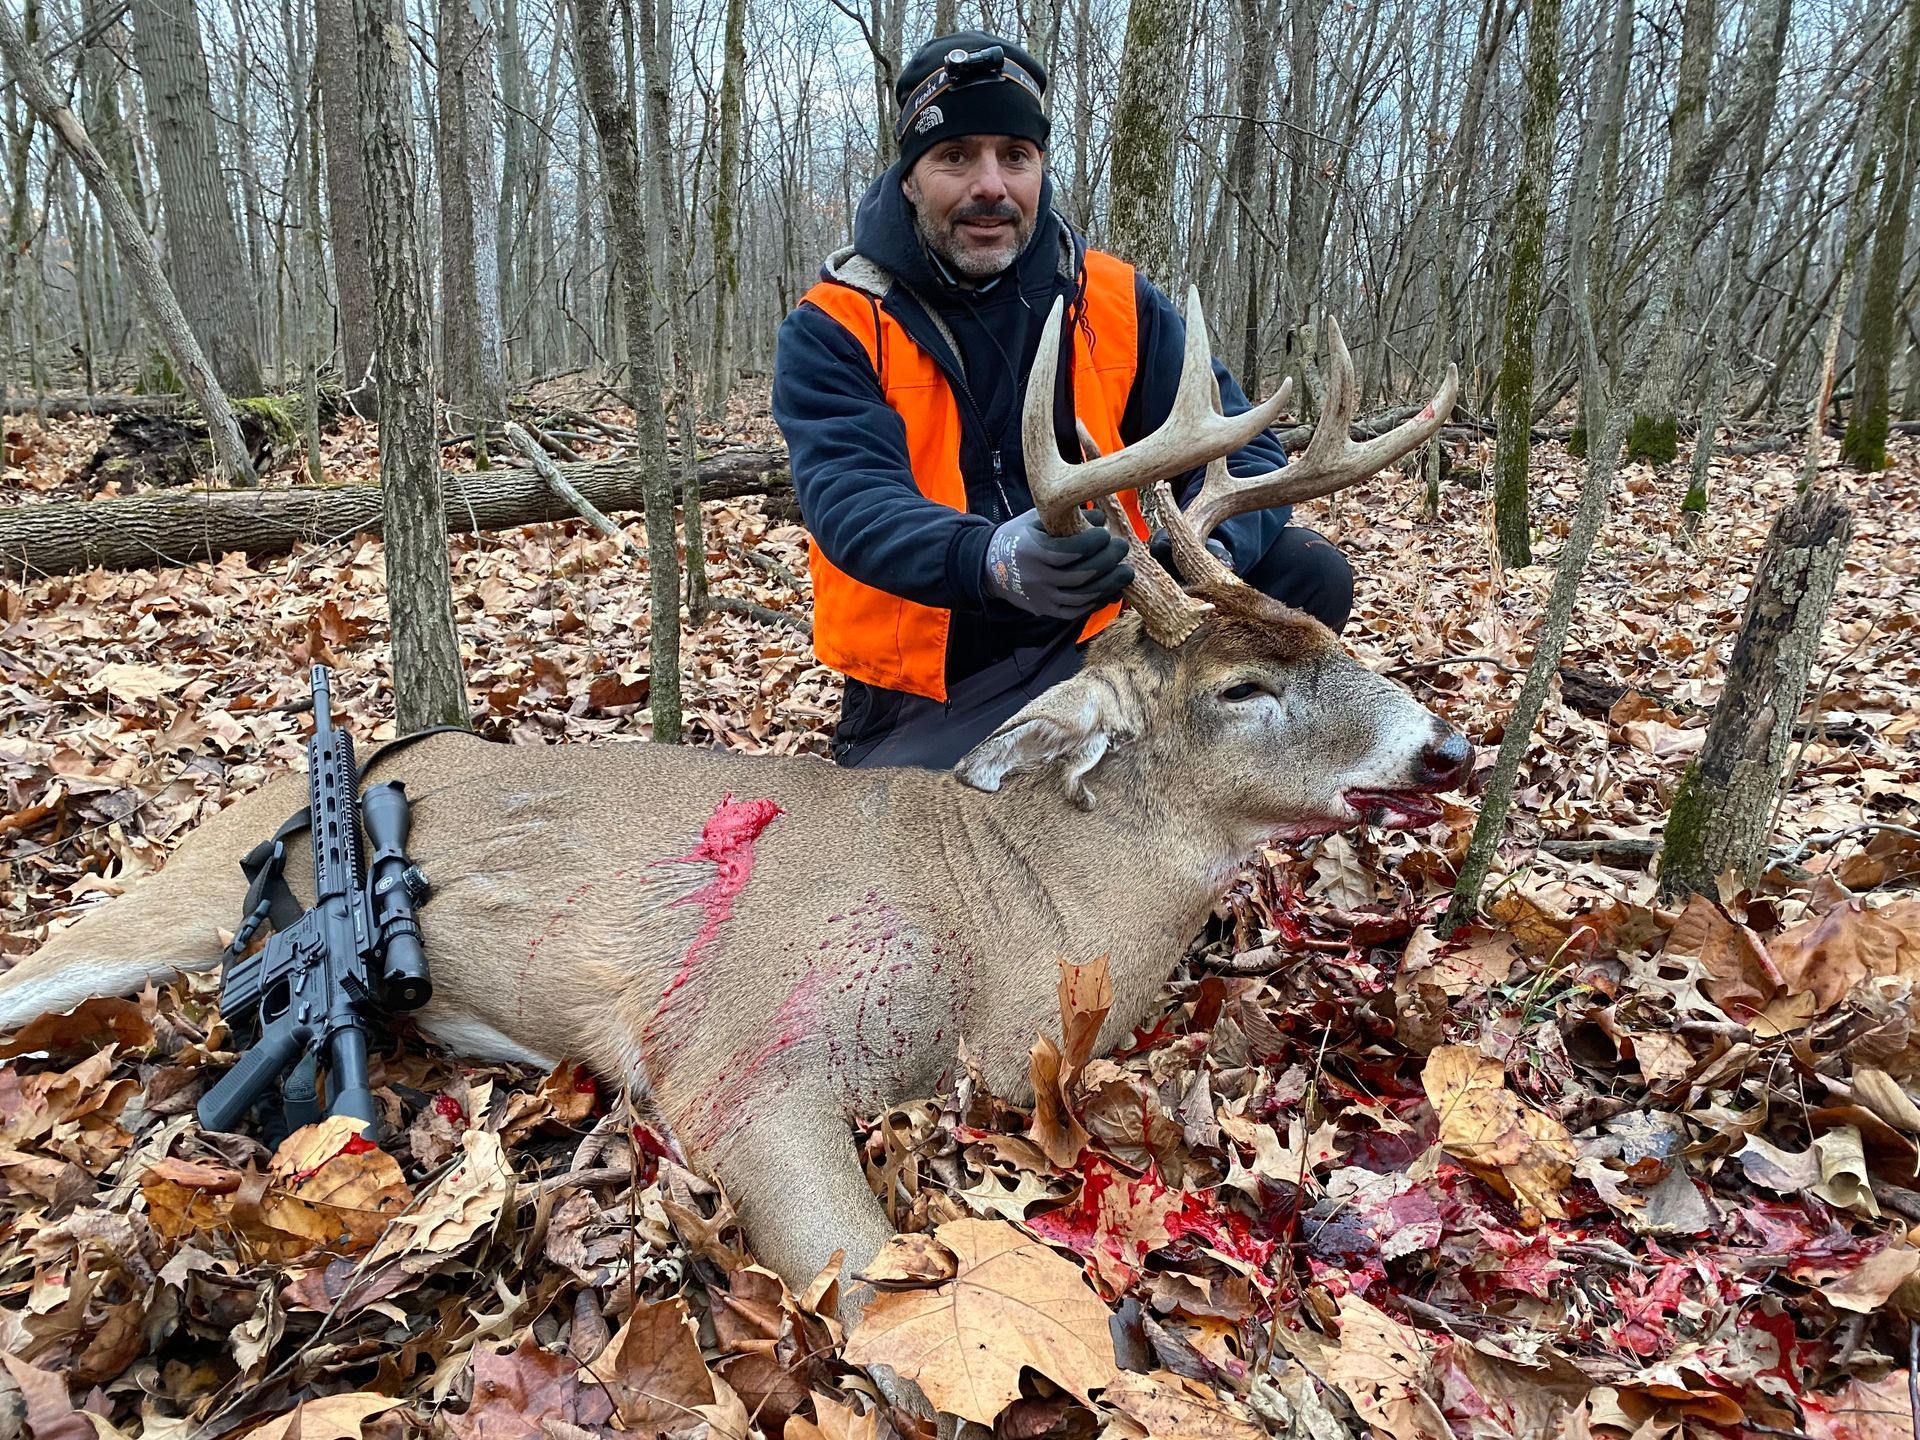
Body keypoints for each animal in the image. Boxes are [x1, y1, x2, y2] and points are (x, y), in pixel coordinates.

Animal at [0, 292, 1463, 1345]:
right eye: (1240, 687)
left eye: (1331, 635)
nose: (1444, 745)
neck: (1008, 928)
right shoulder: (735, 1054)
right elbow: (878, 1289)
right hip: (179, 889)